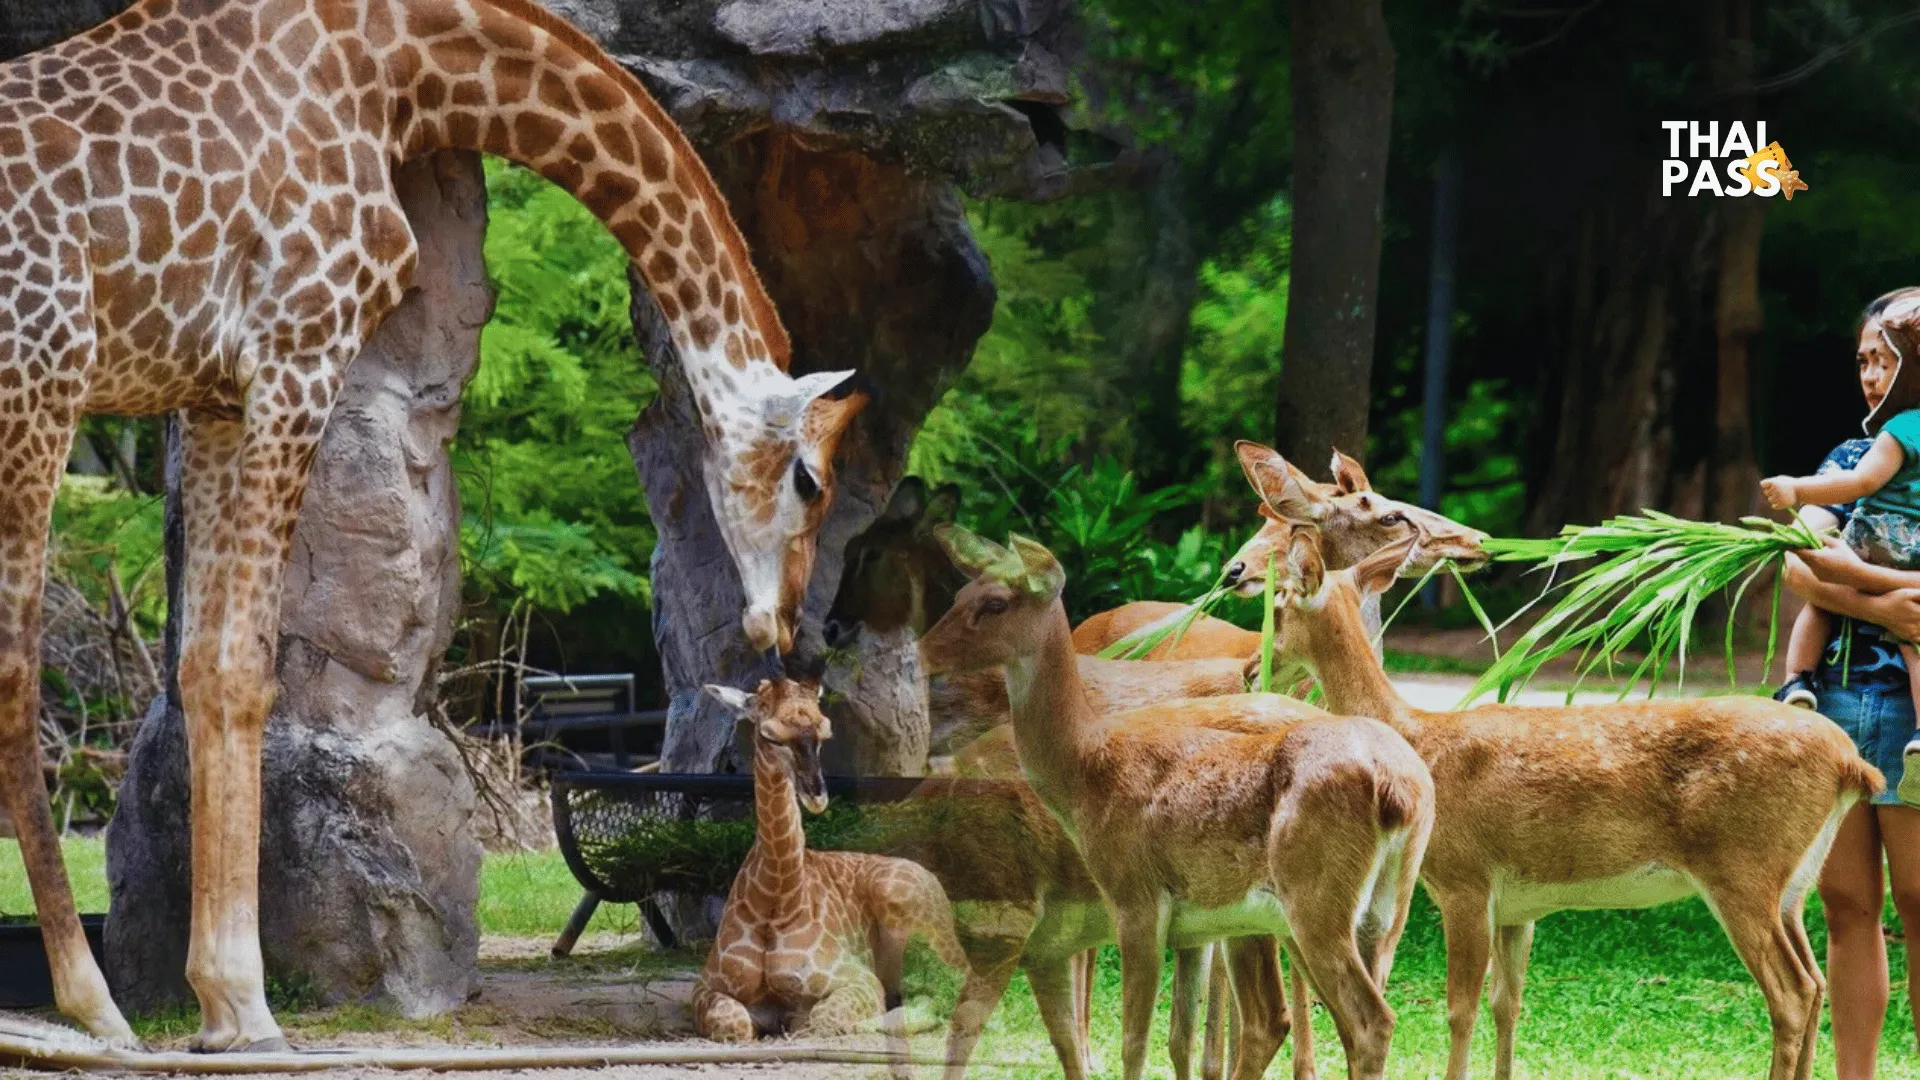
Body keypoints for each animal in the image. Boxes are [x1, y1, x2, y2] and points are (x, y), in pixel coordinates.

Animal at [0, 0, 867, 1045]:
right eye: (810, 481)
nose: (782, 626)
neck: (393, 65)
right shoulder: (298, 348)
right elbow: (242, 670)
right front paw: (247, 1003)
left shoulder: (212, 395)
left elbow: (204, 666)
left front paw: (215, 1006)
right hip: (41, 385)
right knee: (15, 677)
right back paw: (93, 1002)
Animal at [695, 672, 975, 1060]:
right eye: (769, 735)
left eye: (824, 731)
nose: (816, 795)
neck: (775, 898)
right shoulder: (706, 986)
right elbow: (733, 1023)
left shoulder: (859, 979)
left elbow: (819, 1020)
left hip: (912, 915)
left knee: (950, 986)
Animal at [917, 526, 1443, 1076]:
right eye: (959, 594)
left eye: (996, 603)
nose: (923, 651)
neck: (1086, 764)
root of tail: (1398, 789)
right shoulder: (1188, 928)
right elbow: (1176, 1035)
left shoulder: (1136, 898)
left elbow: (1134, 1039)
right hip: (1379, 912)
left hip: (1312, 901)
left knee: (1359, 1021)